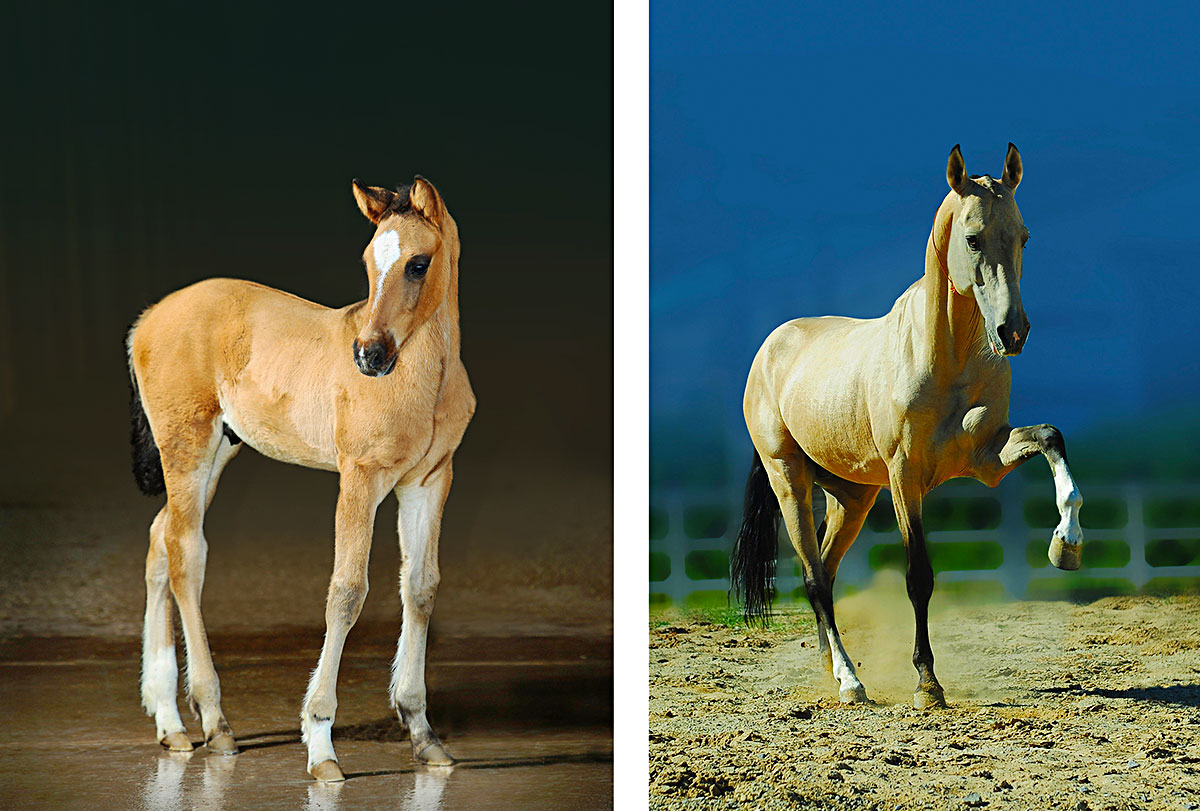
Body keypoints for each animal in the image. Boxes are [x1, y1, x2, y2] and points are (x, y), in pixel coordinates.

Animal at [126, 176, 474, 781]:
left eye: (417, 264)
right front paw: (320, 742)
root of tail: (147, 320)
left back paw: (169, 721)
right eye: (369, 261)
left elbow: (420, 587)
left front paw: (422, 733)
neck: (424, 379)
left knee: (158, 542)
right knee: (186, 554)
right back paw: (215, 722)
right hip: (186, 447)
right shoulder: (359, 478)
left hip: (220, 450)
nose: (369, 355)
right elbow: (348, 591)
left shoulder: (429, 480)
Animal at [732, 144, 1083, 709]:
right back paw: (850, 683)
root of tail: (771, 348)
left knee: (826, 569)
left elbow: (1051, 437)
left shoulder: (989, 456)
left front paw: (1066, 545)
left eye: (1024, 236)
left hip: (851, 497)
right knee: (813, 578)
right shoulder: (904, 477)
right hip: (789, 481)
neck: (946, 355)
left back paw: (834, 667)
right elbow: (919, 575)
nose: (1013, 332)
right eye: (973, 238)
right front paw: (927, 684)